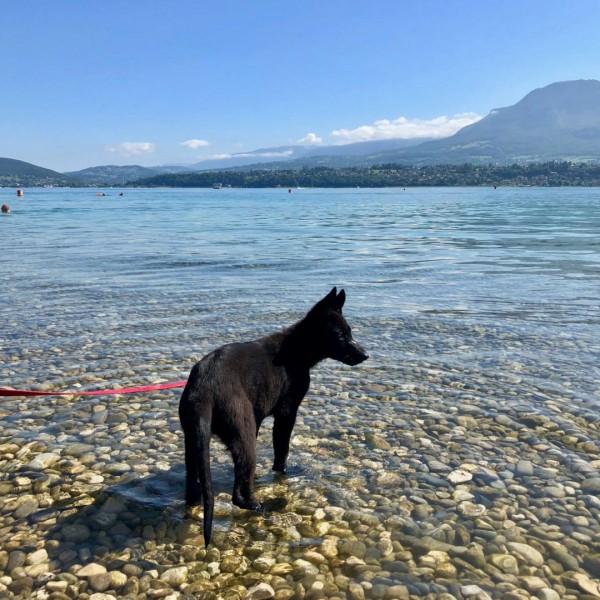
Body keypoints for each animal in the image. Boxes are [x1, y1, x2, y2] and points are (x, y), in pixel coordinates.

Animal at [176, 286, 368, 544]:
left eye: (350, 332)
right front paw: (284, 473)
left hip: (193, 440)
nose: (365, 355)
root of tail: (202, 390)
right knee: (239, 495)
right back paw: (268, 505)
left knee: (194, 486)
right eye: (340, 335)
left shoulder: (258, 418)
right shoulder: (287, 413)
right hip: (243, 432)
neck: (295, 350)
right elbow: (282, 450)